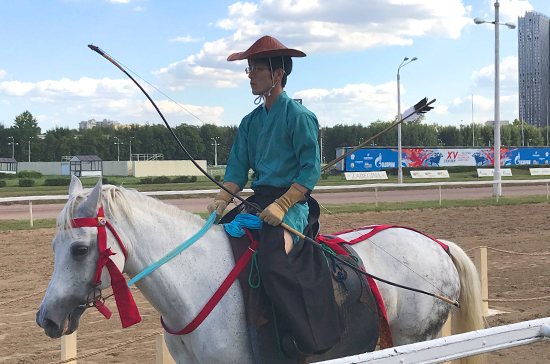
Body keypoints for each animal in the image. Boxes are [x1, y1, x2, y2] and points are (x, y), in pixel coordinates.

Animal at [36, 178, 486, 364]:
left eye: (80, 249)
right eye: (54, 246)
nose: (46, 319)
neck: (195, 284)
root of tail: (436, 243)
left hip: (417, 338)